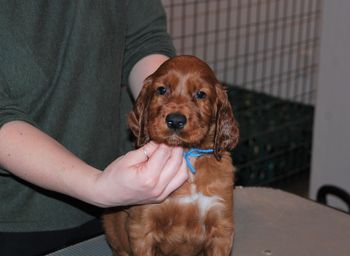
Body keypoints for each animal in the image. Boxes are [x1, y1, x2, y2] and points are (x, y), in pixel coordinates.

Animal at [103, 56, 238, 256]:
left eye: (201, 94)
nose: (175, 120)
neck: (187, 153)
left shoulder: (221, 227)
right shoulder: (142, 227)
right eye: (162, 90)